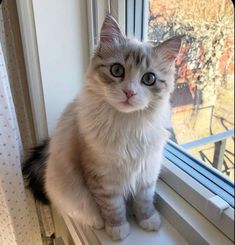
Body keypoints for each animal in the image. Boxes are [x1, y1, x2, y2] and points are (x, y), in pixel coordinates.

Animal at [23, 15, 182, 241]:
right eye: (117, 70)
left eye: (149, 79)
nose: (129, 92)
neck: (128, 124)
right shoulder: (102, 178)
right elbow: (113, 208)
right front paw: (118, 229)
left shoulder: (147, 170)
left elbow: (144, 200)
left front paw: (148, 221)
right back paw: (97, 222)